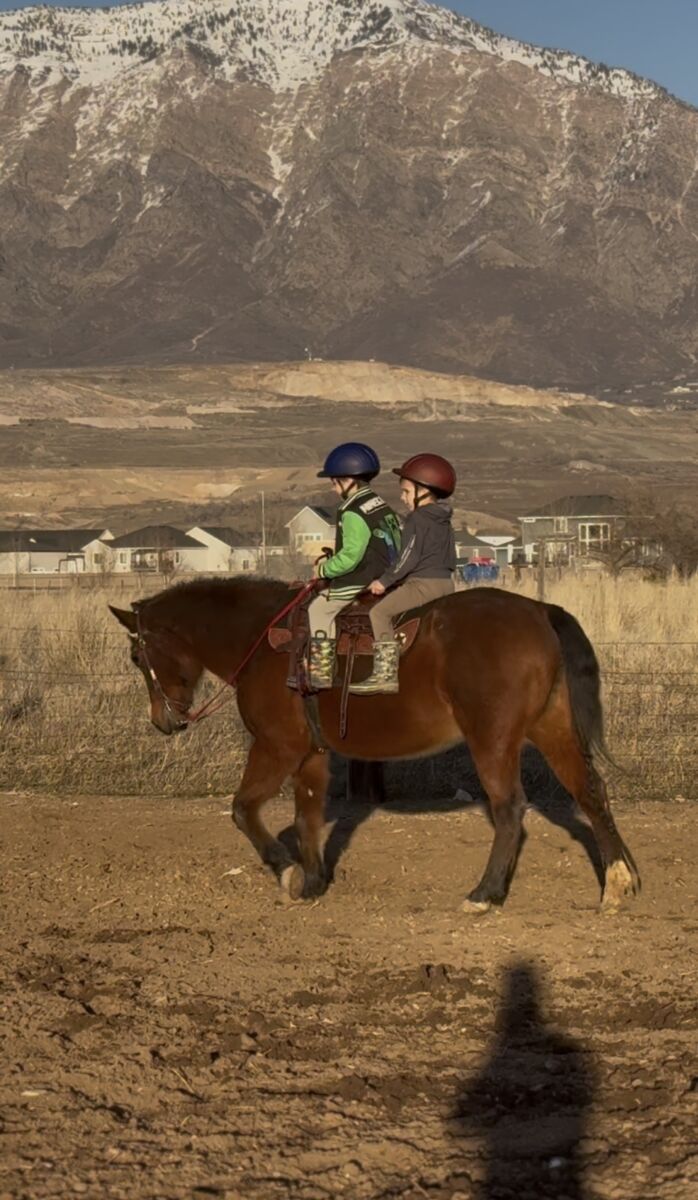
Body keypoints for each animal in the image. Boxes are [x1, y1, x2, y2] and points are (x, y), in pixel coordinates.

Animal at [109, 577, 639, 914]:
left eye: (137, 655)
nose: (163, 721)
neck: (263, 642)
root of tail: (538, 611)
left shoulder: (277, 746)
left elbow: (242, 809)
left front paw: (286, 871)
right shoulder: (312, 755)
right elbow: (306, 815)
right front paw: (313, 882)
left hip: (493, 740)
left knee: (510, 809)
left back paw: (484, 894)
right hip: (552, 728)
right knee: (591, 792)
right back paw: (617, 883)